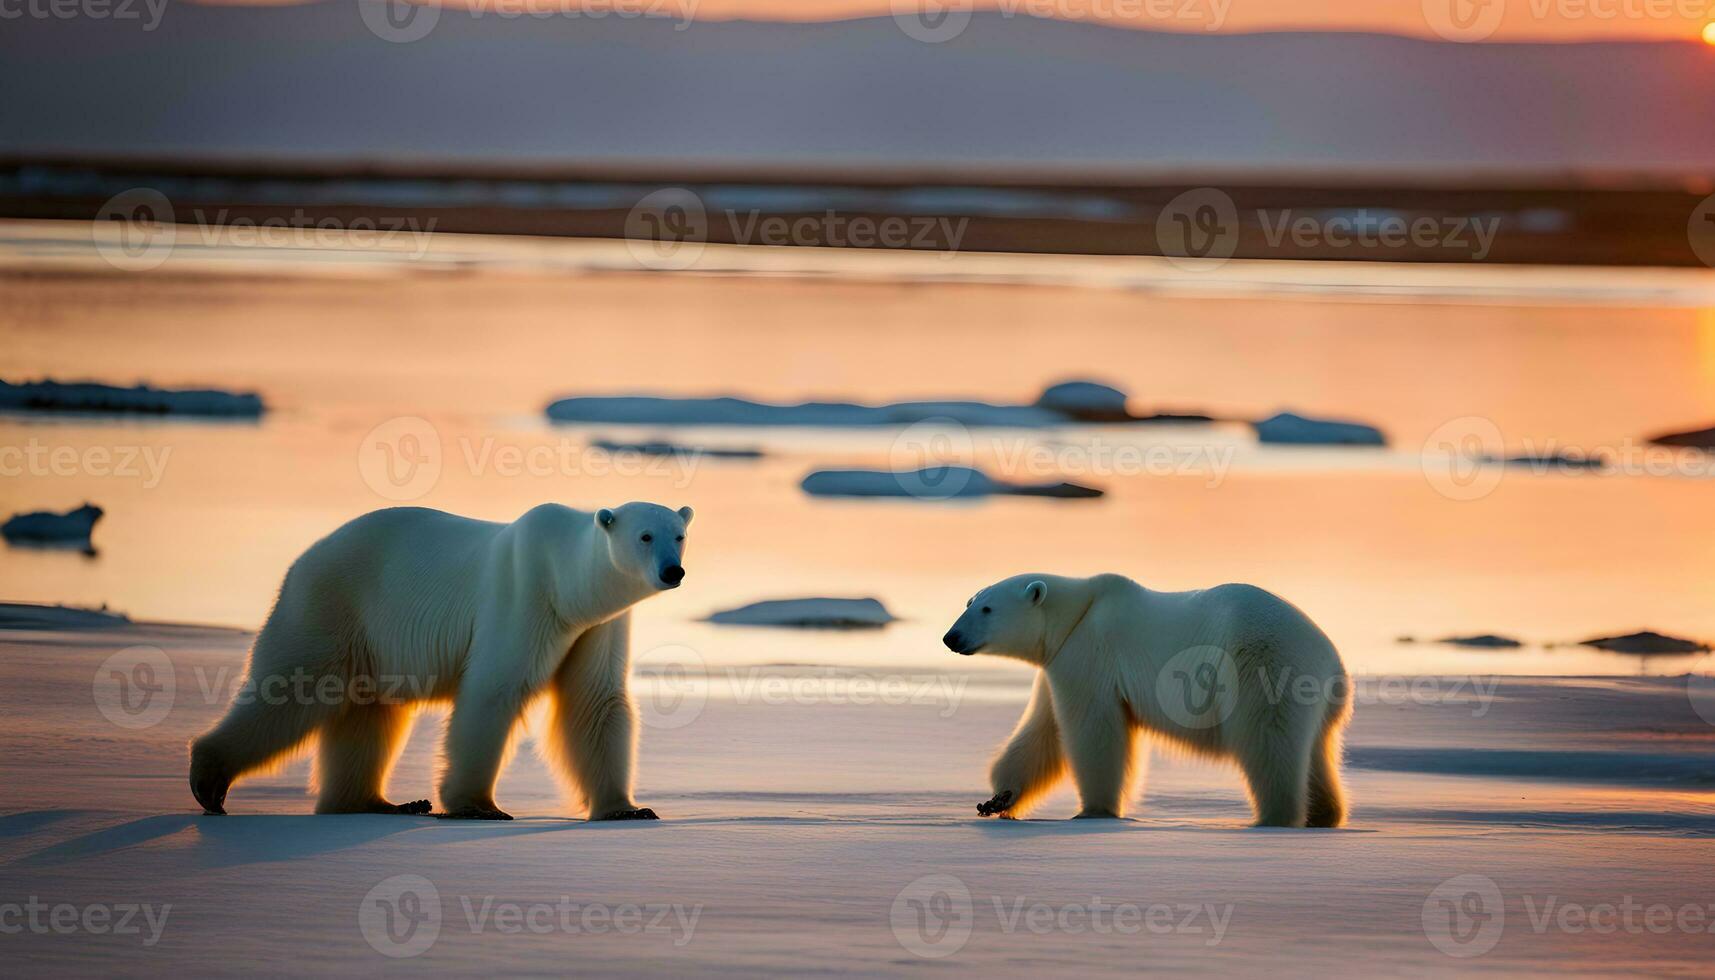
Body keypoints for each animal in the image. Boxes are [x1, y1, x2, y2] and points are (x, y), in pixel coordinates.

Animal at [186, 504, 689, 820]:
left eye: (679, 535)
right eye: (645, 536)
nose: (673, 570)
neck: (565, 582)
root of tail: (302, 560)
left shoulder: (597, 626)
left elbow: (595, 702)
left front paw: (628, 808)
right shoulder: (521, 596)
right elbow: (494, 690)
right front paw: (477, 807)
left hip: (369, 640)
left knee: (369, 714)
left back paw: (379, 802)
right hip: (332, 605)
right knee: (294, 689)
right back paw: (209, 779)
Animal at [939, 576, 1351, 827]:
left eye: (986, 609)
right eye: (970, 601)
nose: (950, 637)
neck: (1076, 614)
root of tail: (1332, 661)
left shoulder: (1091, 654)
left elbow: (1093, 732)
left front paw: (1094, 811)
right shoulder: (1061, 662)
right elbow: (1043, 729)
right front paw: (1000, 798)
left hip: (1265, 665)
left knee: (1267, 743)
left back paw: (1274, 816)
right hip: (1317, 702)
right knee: (1316, 752)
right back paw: (1324, 814)